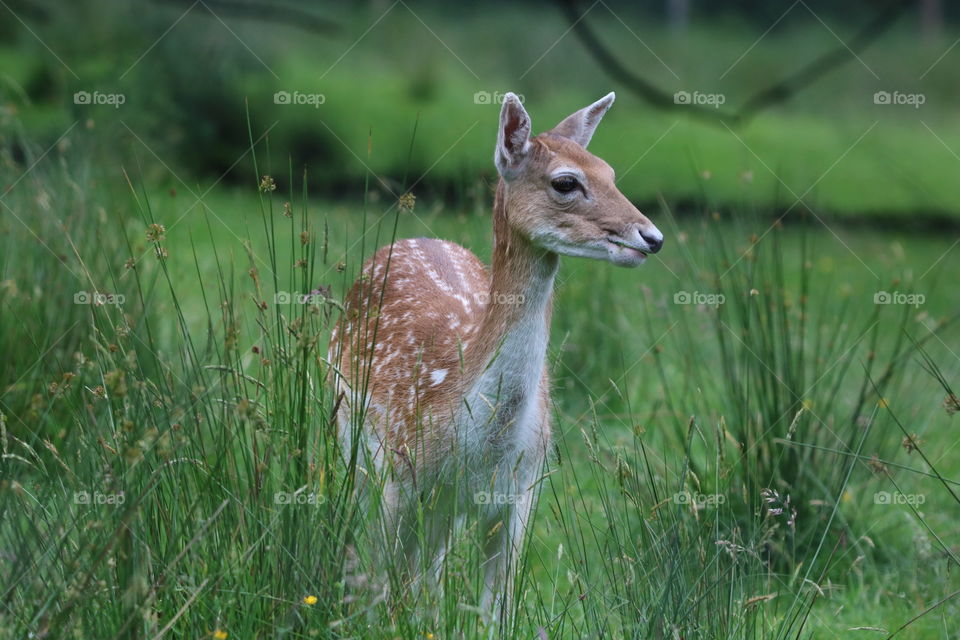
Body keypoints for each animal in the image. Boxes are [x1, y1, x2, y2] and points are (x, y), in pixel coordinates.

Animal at [329, 92, 663, 617]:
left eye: (610, 172)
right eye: (566, 182)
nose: (651, 237)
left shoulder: (520, 495)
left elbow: (495, 610)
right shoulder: (401, 482)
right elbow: (390, 591)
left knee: (430, 575)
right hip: (349, 446)